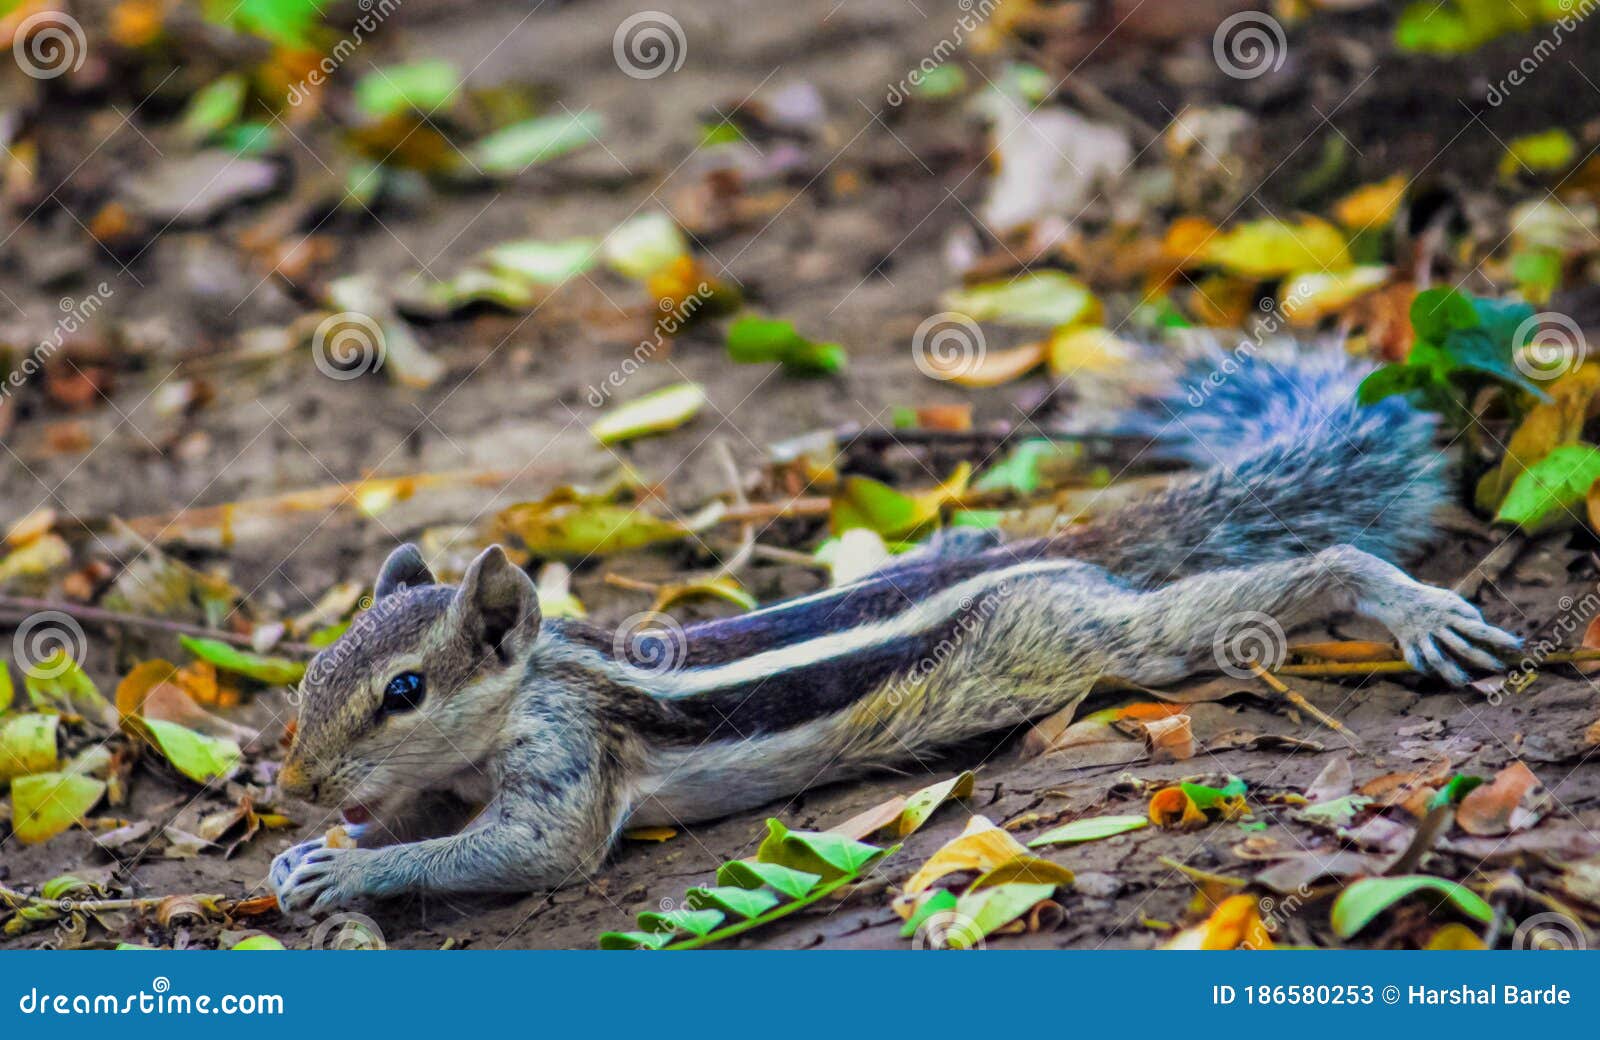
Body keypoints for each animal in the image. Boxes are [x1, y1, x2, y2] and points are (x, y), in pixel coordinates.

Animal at [269, 344, 1522, 913]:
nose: (293, 784)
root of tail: (1021, 556)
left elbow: (529, 848)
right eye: (308, 678)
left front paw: (350, 868)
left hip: (1082, 636)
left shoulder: (566, 753)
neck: (524, 689)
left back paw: (1399, 600)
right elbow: (432, 815)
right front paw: (315, 846)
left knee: (1277, 581)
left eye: (402, 691)